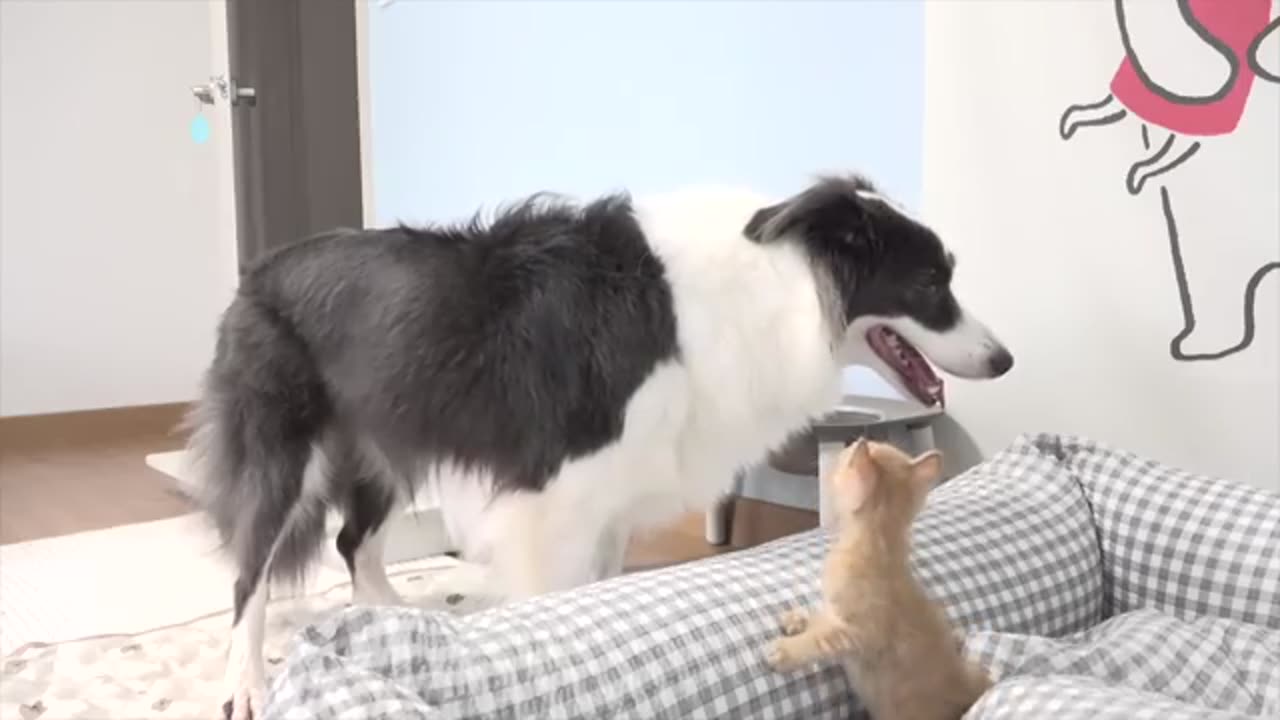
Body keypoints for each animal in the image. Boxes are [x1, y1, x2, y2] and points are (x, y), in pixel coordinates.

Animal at [762, 438, 983, 717]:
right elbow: (823, 616)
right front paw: (798, 619)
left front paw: (785, 650)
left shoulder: (862, 632)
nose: (846, 447)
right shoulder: (838, 611)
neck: (879, 545)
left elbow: (822, 638)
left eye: (847, 456)